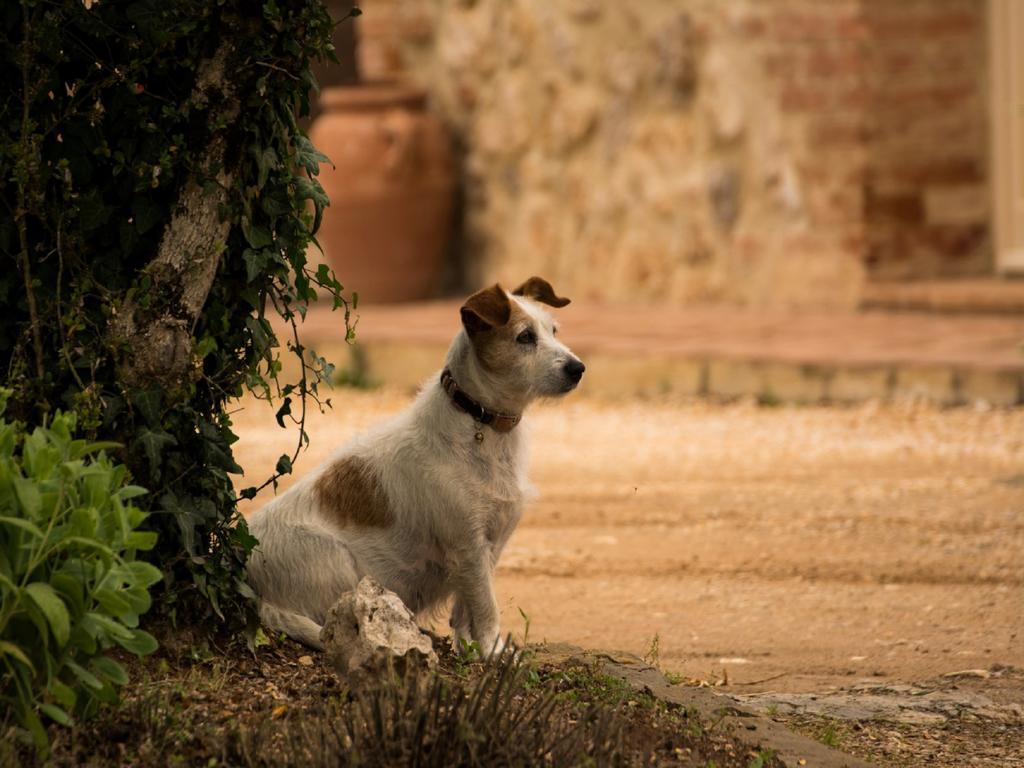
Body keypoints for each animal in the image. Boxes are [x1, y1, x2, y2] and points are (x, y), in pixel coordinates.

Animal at [244, 276, 585, 655]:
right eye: (525, 337)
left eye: (553, 330)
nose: (578, 369)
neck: (478, 418)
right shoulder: (468, 546)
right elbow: (487, 608)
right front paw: (494, 653)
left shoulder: (485, 548)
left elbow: (467, 609)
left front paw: (470, 649)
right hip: (337, 562)